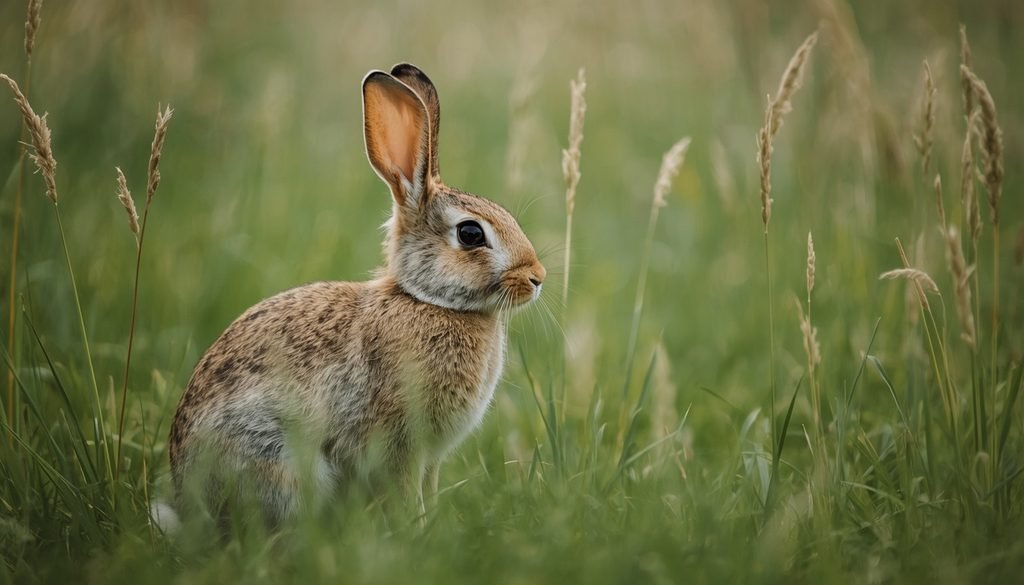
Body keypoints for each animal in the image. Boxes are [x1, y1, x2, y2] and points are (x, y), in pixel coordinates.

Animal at [168, 63, 546, 524]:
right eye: (471, 234)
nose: (537, 277)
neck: (427, 300)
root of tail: (186, 503)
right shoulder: (399, 444)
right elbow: (404, 487)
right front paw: (413, 525)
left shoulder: (429, 458)